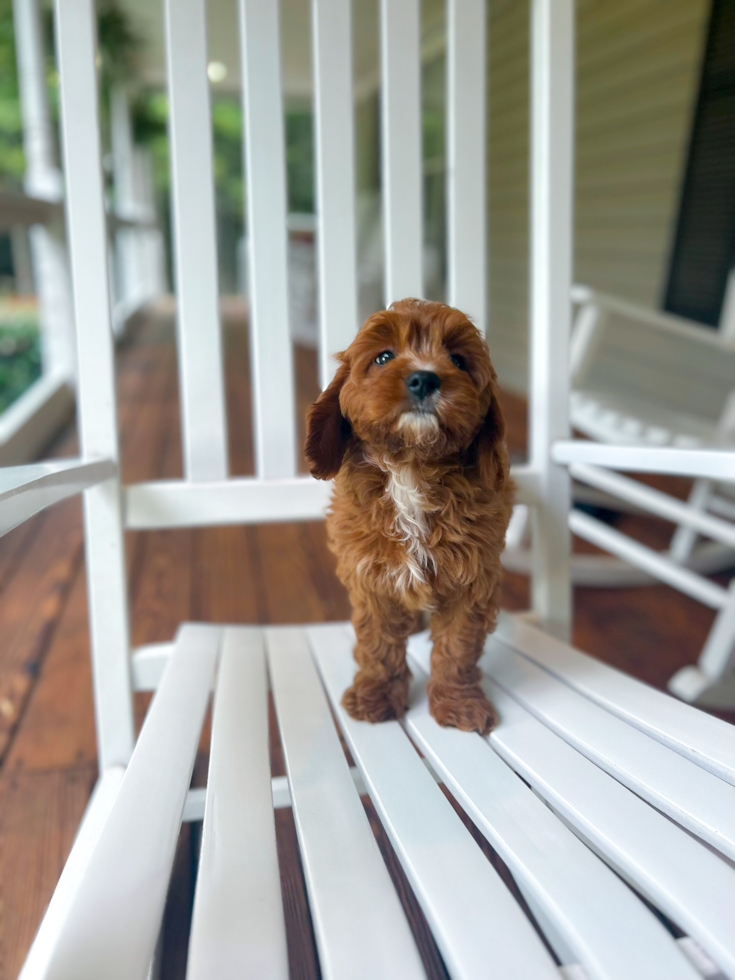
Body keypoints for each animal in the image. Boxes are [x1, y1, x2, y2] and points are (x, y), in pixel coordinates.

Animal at [304, 298, 512, 736]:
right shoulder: (372, 575)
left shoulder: (473, 578)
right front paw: (376, 696)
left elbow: (458, 646)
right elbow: (378, 642)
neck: (411, 468)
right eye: (383, 357)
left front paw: (457, 703)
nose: (423, 379)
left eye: (458, 360)